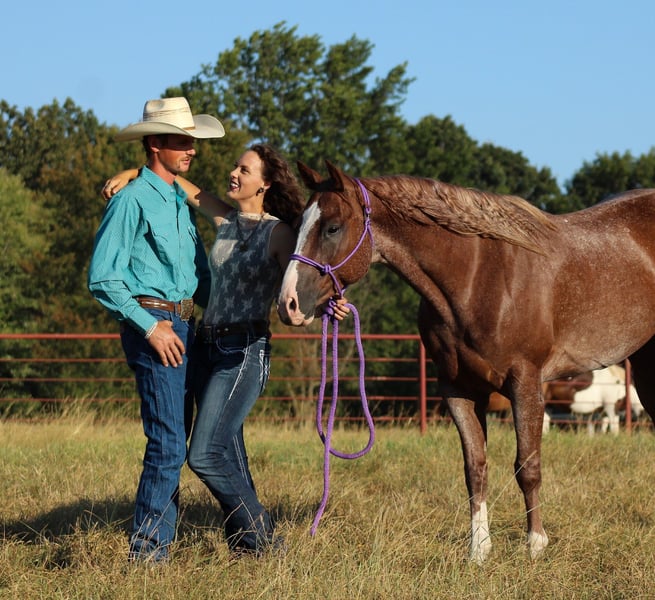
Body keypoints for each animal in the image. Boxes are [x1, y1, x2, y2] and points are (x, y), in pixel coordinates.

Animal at [277, 161, 655, 563]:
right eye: (299, 225)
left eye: (332, 227)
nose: (288, 304)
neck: (477, 279)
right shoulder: (458, 390)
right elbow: (475, 468)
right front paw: (479, 550)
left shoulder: (525, 384)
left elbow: (528, 466)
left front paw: (535, 545)